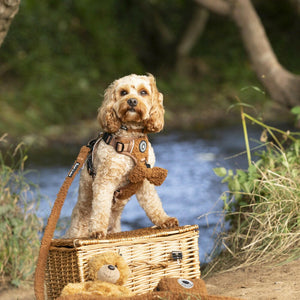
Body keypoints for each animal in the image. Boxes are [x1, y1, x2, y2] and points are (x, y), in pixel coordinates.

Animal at [65, 74, 178, 238]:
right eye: (123, 92)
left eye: (143, 92)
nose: (132, 101)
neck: (130, 139)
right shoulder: (105, 180)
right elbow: (101, 207)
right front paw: (98, 230)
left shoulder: (145, 179)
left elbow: (153, 203)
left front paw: (164, 220)